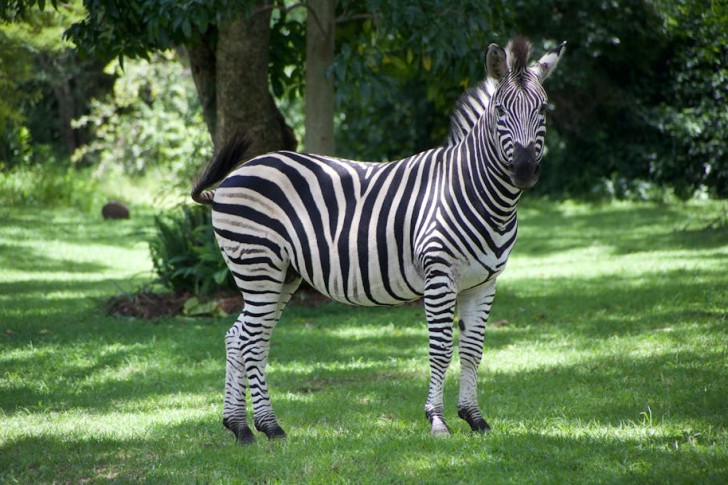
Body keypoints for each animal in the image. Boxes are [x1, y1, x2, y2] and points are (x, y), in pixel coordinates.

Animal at [192, 36, 565, 443]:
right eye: (500, 110)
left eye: (542, 109)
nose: (524, 170)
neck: (476, 192)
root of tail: (233, 178)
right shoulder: (439, 276)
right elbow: (440, 350)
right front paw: (438, 420)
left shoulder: (483, 282)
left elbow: (472, 350)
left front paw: (475, 418)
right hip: (259, 266)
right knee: (251, 341)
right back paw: (267, 426)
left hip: (281, 275)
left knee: (239, 337)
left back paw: (240, 426)